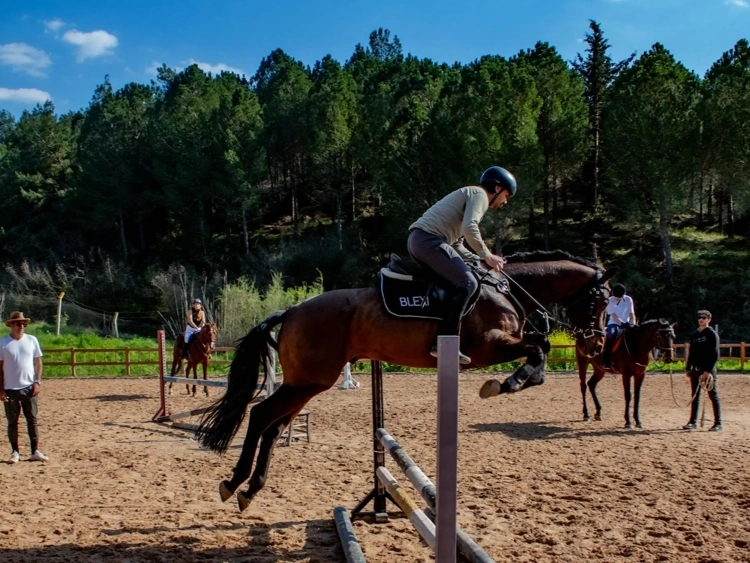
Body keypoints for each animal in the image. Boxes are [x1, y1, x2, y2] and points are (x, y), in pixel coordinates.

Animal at [196, 251, 616, 512]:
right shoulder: (490, 347)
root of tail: (293, 309)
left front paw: (515, 381)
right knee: (260, 415)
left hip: (309, 382)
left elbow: (540, 350)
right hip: (309, 380)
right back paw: (234, 482)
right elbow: (540, 347)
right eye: (600, 301)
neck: (506, 290)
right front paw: (506, 383)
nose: (595, 344)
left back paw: (249, 489)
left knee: (273, 425)